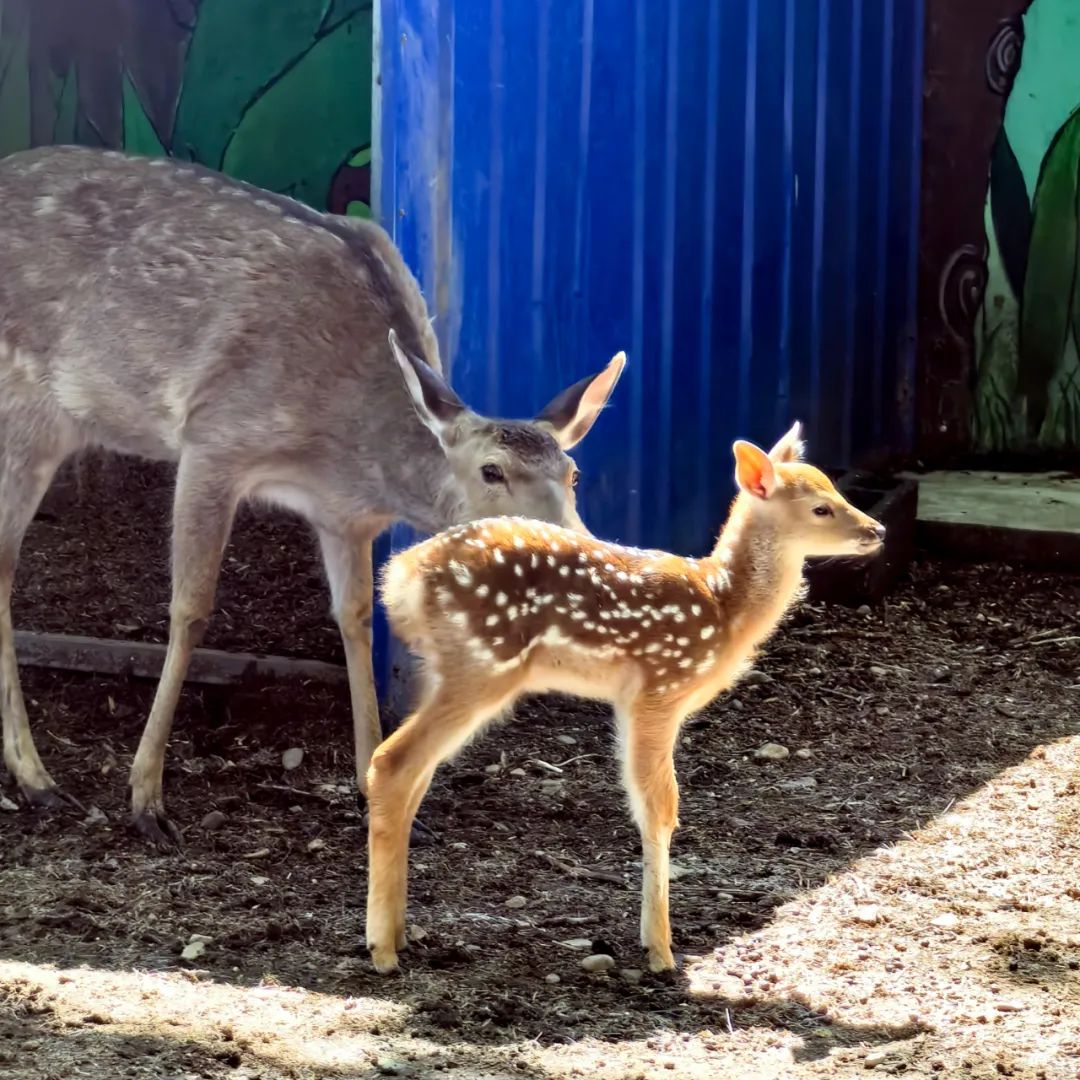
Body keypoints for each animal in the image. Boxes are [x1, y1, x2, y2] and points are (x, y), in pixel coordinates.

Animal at [0, 147, 626, 846]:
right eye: (492, 471)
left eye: (572, 472)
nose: (578, 546)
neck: (351, 453)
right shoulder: (215, 439)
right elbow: (190, 610)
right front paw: (146, 800)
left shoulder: (344, 516)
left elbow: (354, 618)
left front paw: (374, 786)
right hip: (29, 409)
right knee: (3, 561)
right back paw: (36, 778)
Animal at [367, 425, 881, 976]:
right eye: (820, 508)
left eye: (835, 487)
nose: (877, 530)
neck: (724, 607)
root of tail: (400, 577)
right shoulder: (659, 687)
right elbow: (660, 806)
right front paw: (661, 950)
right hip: (482, 664)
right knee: (392, 762)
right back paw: (381, 949)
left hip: (448, 670)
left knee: (415, 775)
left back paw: (401, 933)